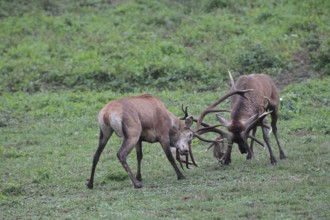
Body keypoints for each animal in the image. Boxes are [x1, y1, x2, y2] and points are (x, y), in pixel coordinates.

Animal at [85, 93, 217, 188]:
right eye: (190, 135)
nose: (185, 151)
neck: (171, 123)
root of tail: (107, 113)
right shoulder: (163, 136)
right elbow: (170, 157)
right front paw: (181, 176)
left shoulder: (140, 139)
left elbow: (139, 156)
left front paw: (139, 176)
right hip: (132, 133)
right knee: (121, 154)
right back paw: (136, 184)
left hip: (105, 133)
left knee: (96, 155)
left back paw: (90, 183)